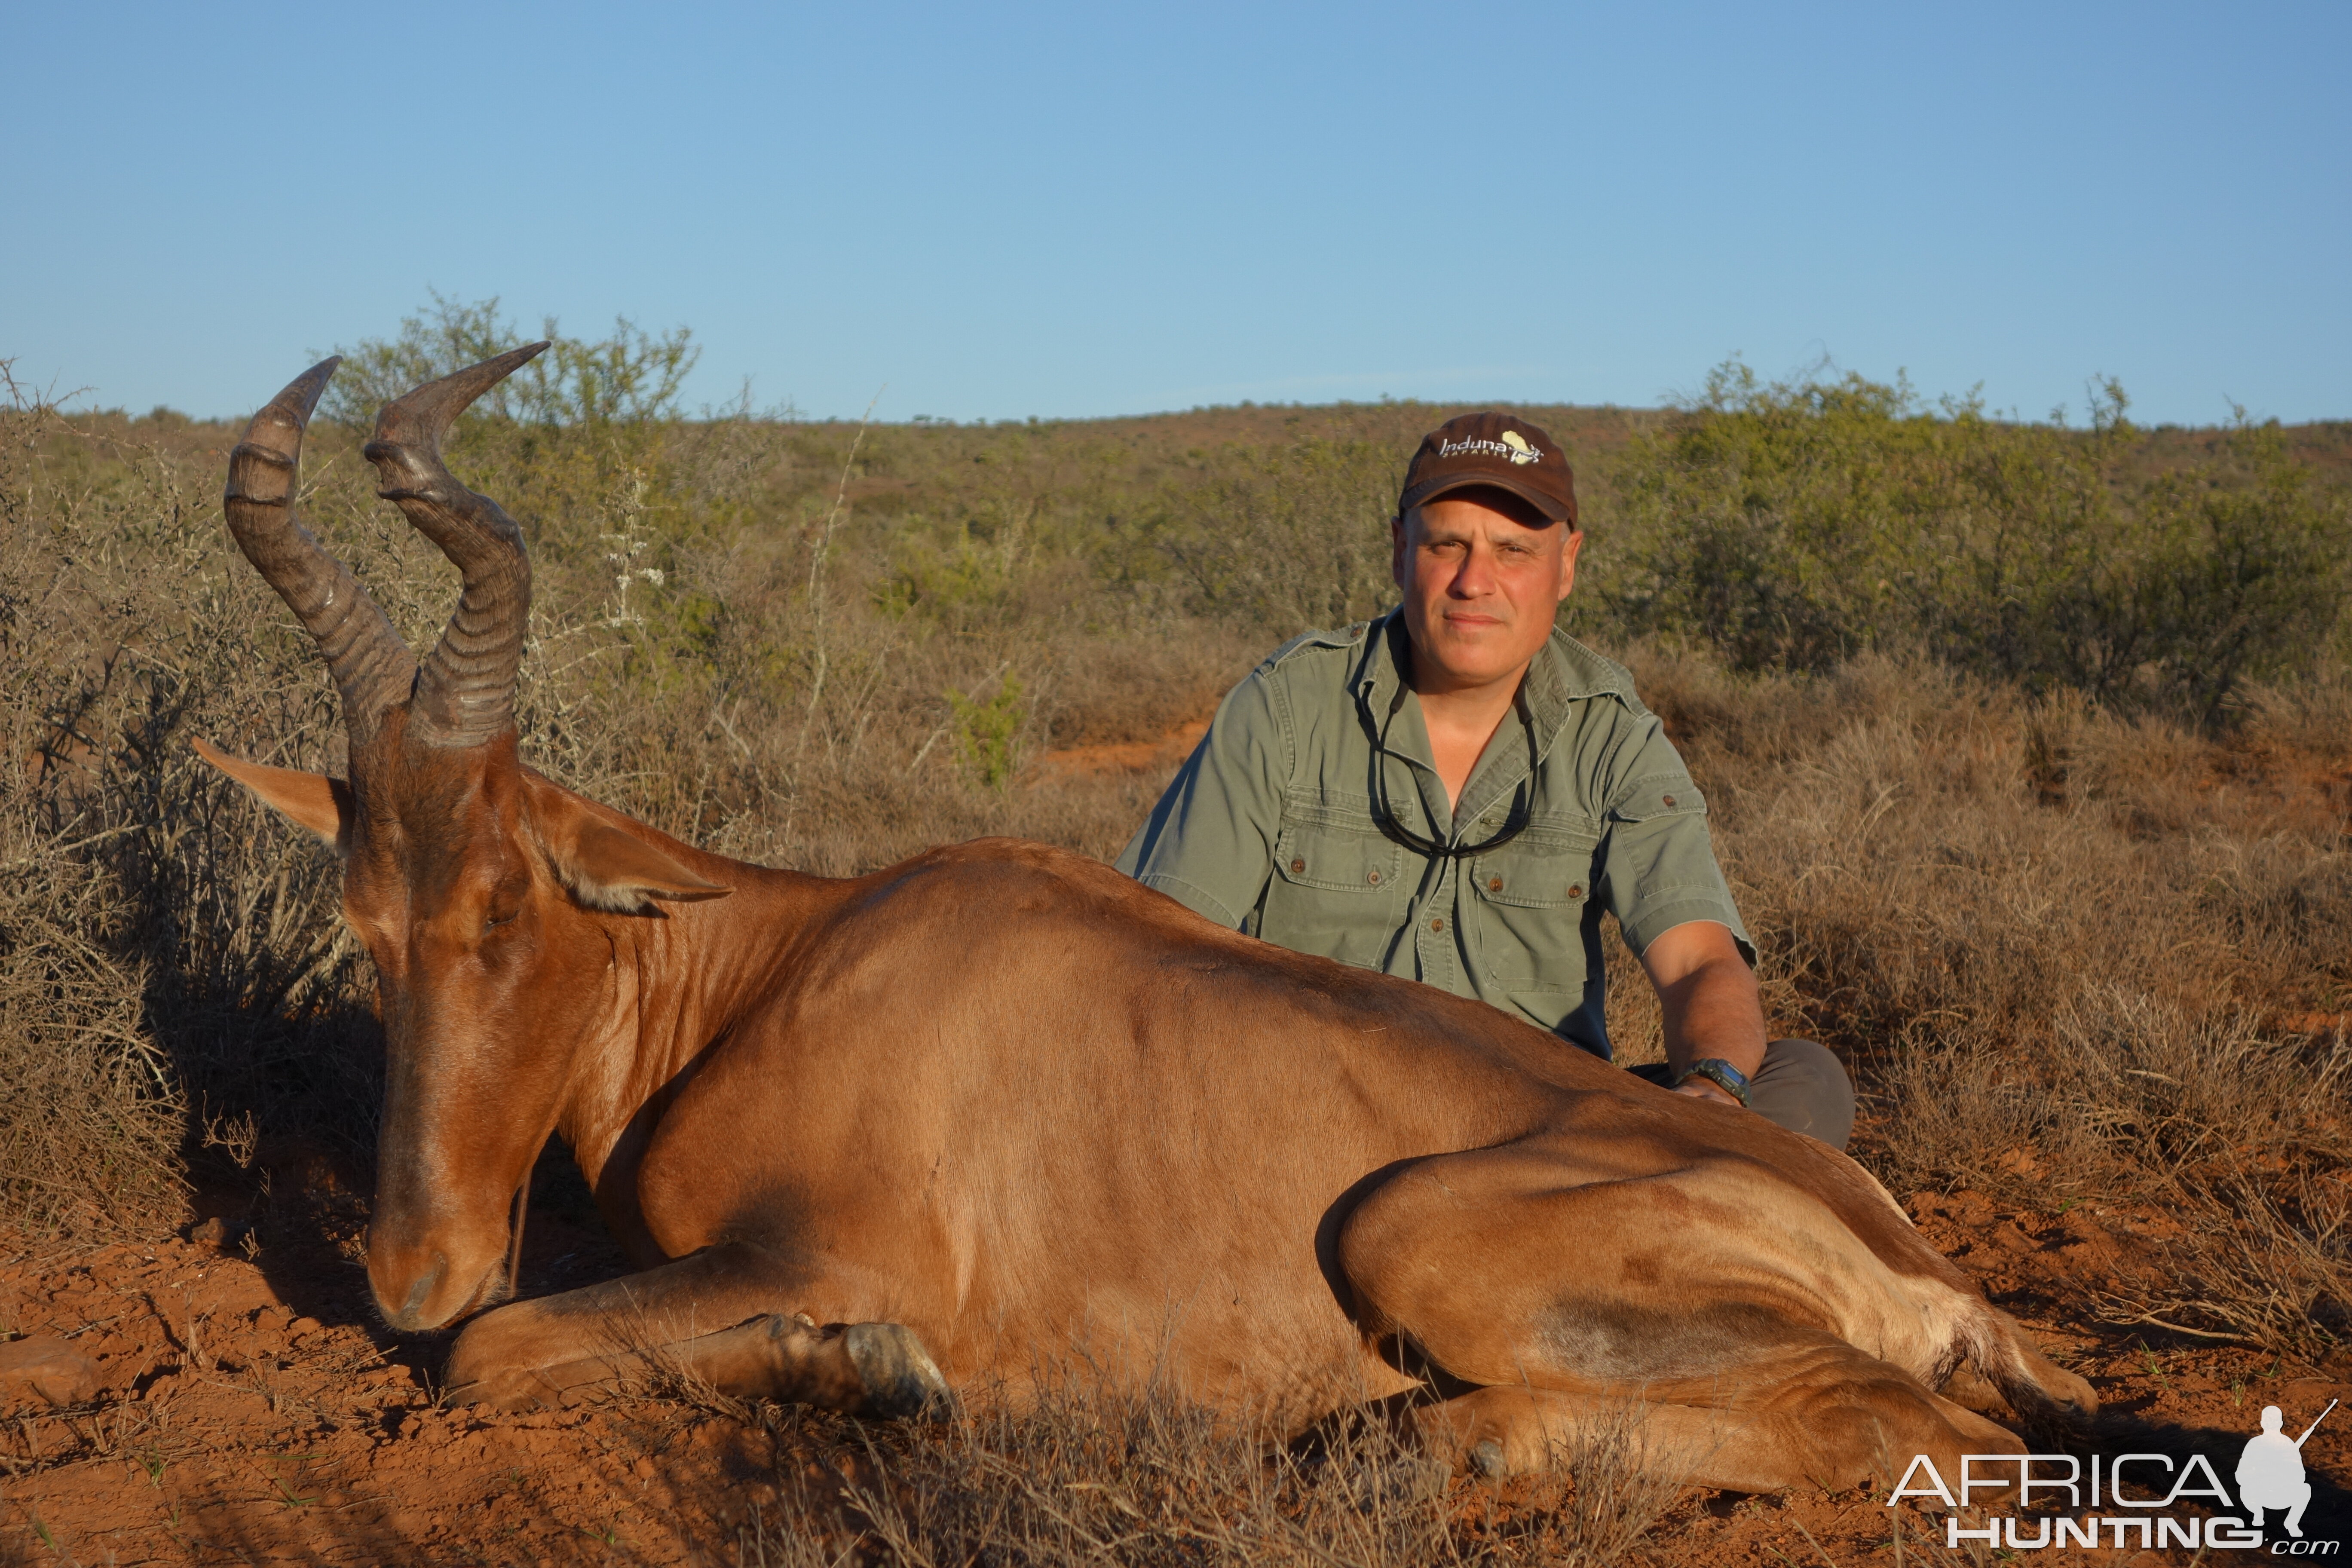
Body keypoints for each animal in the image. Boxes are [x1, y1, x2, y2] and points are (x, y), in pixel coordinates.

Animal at [193, 352, 2089, 1495]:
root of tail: (1912, 1255)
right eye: (364, 920)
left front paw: (883, 1377)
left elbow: (507, 1355)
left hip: (1415, 1227)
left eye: (510, 899)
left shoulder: (817, 1250)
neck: (780, 958)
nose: (409, 1273)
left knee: (1889, 1425)